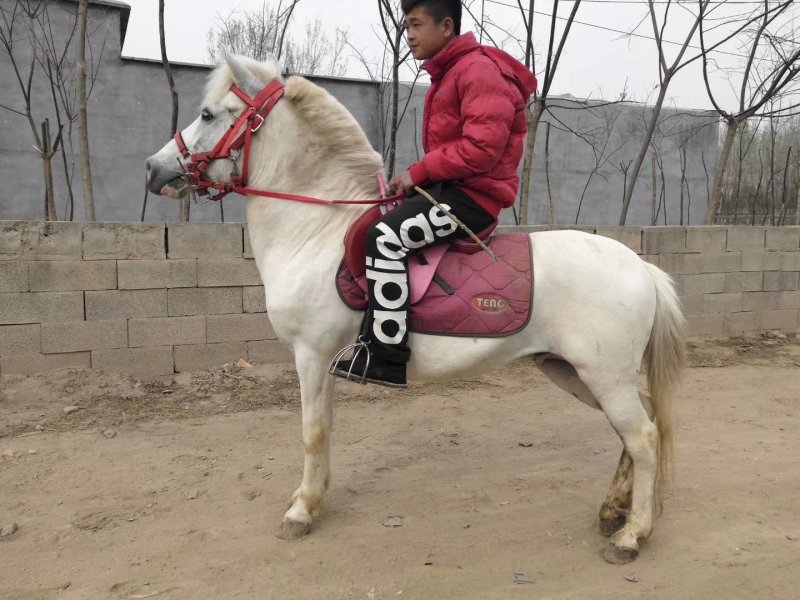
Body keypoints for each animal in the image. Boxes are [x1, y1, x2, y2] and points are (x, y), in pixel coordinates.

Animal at [145, 54, 686, 565]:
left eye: (208, 114)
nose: (154, 168)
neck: (316, 230)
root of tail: (642, 267)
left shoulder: (311, 355)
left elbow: (313, 432)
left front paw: (301, 511)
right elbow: (325, 429)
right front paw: (312, 497)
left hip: (602, 375)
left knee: (643, 437)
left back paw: (631, 536)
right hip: (572, 371)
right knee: (638, 429)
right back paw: (613, 510)